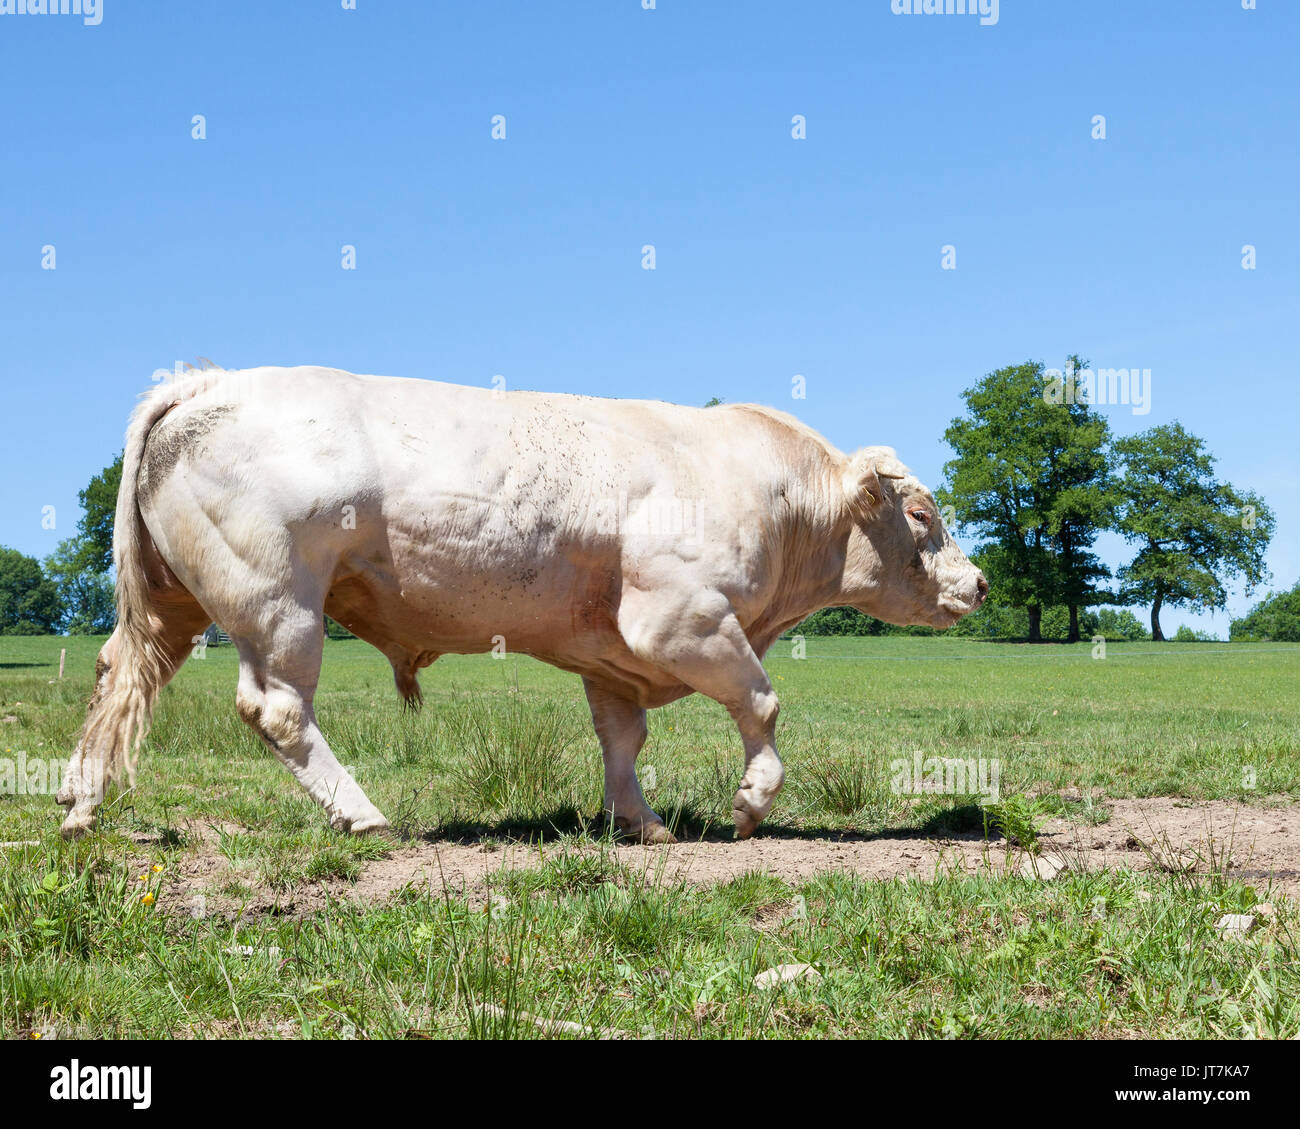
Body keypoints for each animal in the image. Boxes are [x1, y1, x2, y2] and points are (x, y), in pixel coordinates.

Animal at [53, 366, 982, 842]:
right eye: (923, 515)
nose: (976, 583)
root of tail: (208, 382)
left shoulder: (615, 651)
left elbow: (622, 740)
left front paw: (641, 822)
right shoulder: (680, 619)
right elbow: (762, 701)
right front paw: (752, 801)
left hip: (171, 606)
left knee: (118, 678)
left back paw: (79, 807)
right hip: (278, 601)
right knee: (276, 710)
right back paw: (364, 815)